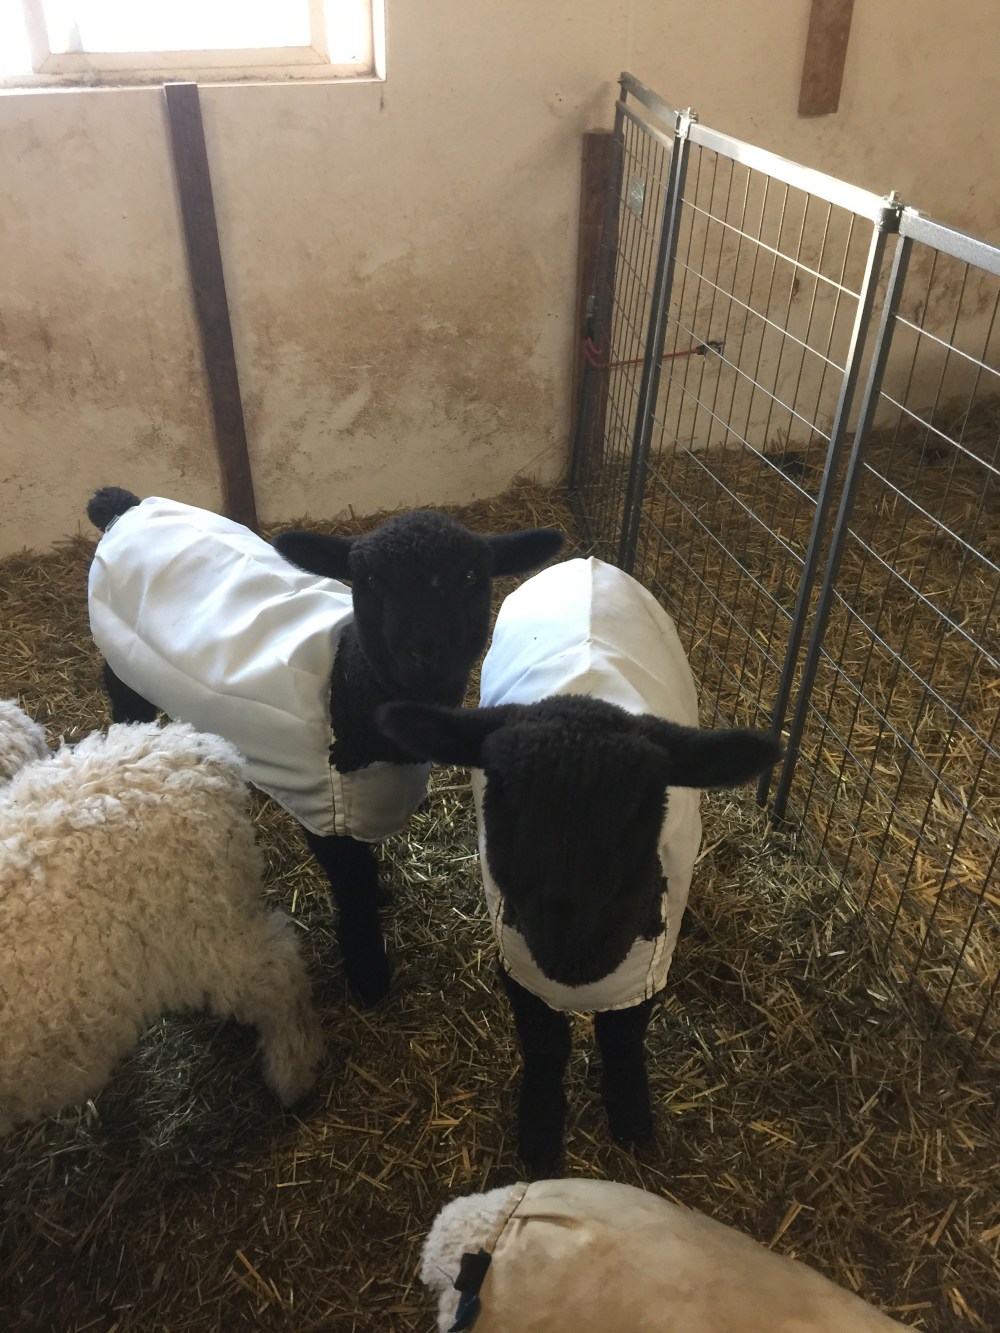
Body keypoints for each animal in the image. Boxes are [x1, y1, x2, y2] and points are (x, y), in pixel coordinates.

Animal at [86, 486, 562, 1008]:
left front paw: (380, 900)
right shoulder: (324, 812)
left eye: (473, 577)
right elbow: (352, 887)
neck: (347, 685)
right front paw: (368, 972)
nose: (424, 653)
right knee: (122, 701)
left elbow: (366, 870)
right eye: (369, 580)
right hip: (123, 666)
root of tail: (126, 505)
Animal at [378, 556, 782, 1173]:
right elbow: (545, 1043)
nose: (565, 939)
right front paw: (541, 1132)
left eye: (642, 806)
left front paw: (630, 1114)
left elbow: (624, 1035)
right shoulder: (515, 952)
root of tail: (585, 561)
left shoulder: (649, 960)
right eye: (503, 796)